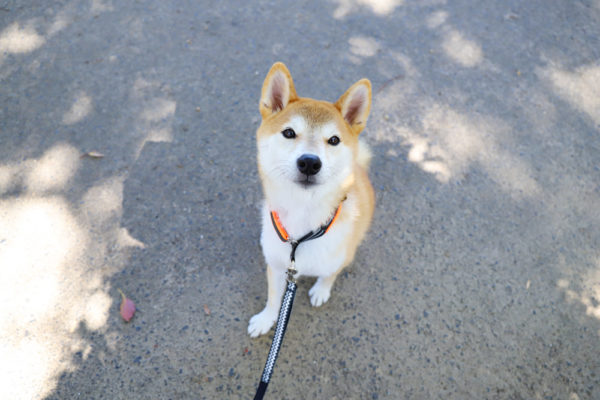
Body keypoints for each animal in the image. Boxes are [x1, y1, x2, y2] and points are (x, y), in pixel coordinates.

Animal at [248, 62, 376, 338]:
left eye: (334, 140)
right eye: (289, 133)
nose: (309, 162)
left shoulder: (338, 258)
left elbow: (330, 275)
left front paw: (321, 290)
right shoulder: (277, 268)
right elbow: (273, 299)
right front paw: (266, 320)